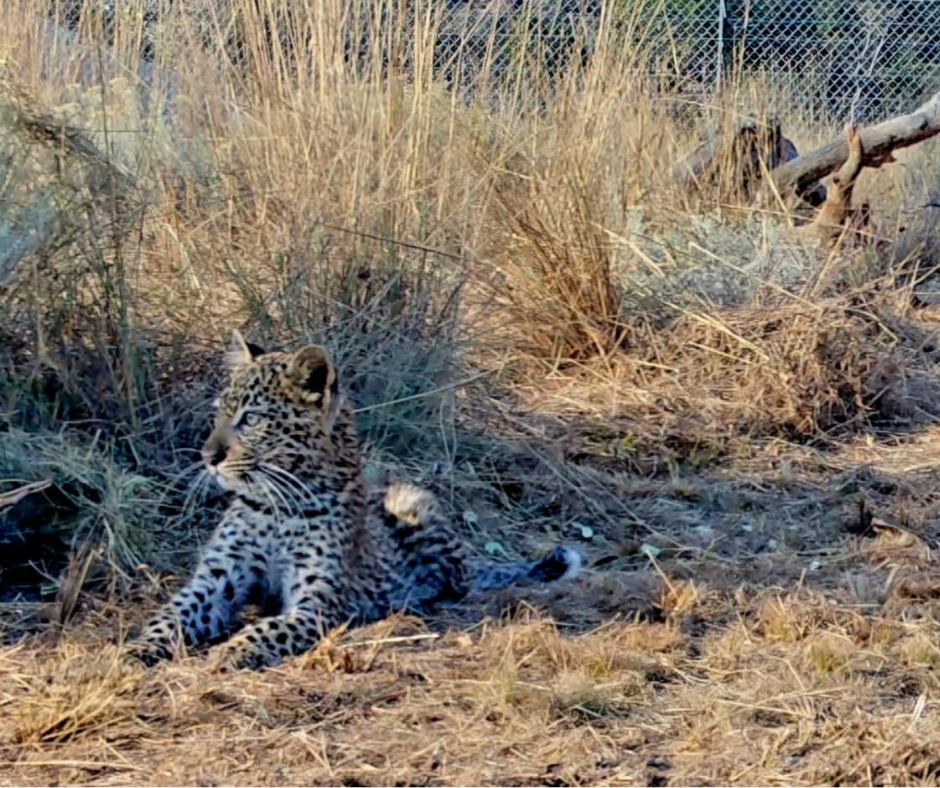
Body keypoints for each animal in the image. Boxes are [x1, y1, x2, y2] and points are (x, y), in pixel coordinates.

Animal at [129, 331, 583, 669]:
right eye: (219, 413)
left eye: (252, 419)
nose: (207, 456)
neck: (272, 507)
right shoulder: (215, 580)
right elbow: (170, 615)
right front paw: (136, 649)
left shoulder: (317, 602)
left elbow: (267, 628)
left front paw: (232, 650)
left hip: (411, 499)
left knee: (454, 579)